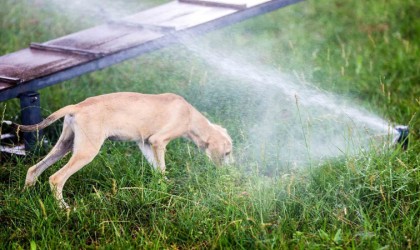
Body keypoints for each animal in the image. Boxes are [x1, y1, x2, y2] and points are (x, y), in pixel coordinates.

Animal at [18, 93, 231, 208]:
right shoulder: (158, 141)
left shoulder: (146, 144)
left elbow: (158, 171)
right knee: (56, 179)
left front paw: (163, 188)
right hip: (86, 151)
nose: (228, 173)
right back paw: (64, 208)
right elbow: (162, 167)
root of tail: (77, 106)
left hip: (65, 145)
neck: (190, 115)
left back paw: (26, 195)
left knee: (33, 170)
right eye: (228, 153)